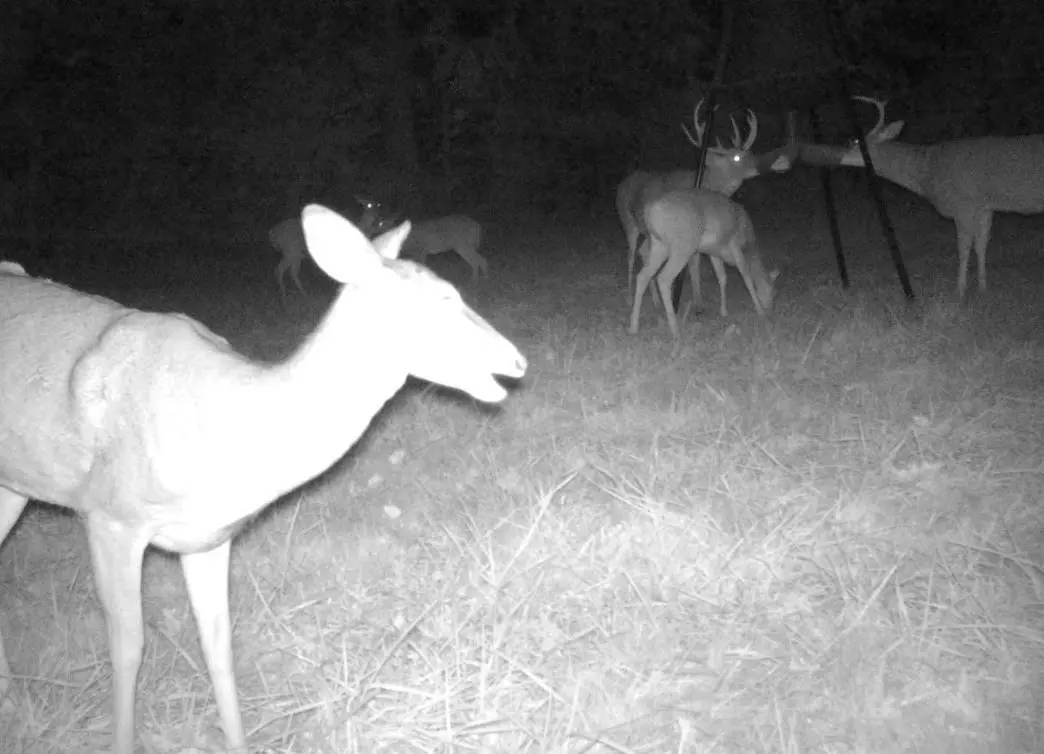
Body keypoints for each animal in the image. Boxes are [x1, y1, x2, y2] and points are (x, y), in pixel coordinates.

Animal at [0, 204, 526, 754]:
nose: (517, 360)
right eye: (441, 300)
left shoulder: (208, 538)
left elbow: (218, 643)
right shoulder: (109, 515)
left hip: (14, 484)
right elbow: (128, 645)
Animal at [628, 187, 778, 355]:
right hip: (683, 245)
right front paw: (760, 311)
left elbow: (722, 277)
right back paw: (675, 331)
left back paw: (633, 326)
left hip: (659, 244)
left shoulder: (714, 251)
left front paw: (724, 311)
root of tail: (652, 210)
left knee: (643, 276)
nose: (771, 310)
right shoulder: (735, 244)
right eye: (774, 292)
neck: (751, 249)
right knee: (664, 278)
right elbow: (746, 277)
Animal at [800, 96, 1044, 298]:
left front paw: (959, 291)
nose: (831, 158)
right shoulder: (984, 206)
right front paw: (983, 288)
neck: (926, 171)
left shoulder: (963, 203)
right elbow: (982, 245)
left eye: (856, 142)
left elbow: (963, 248)